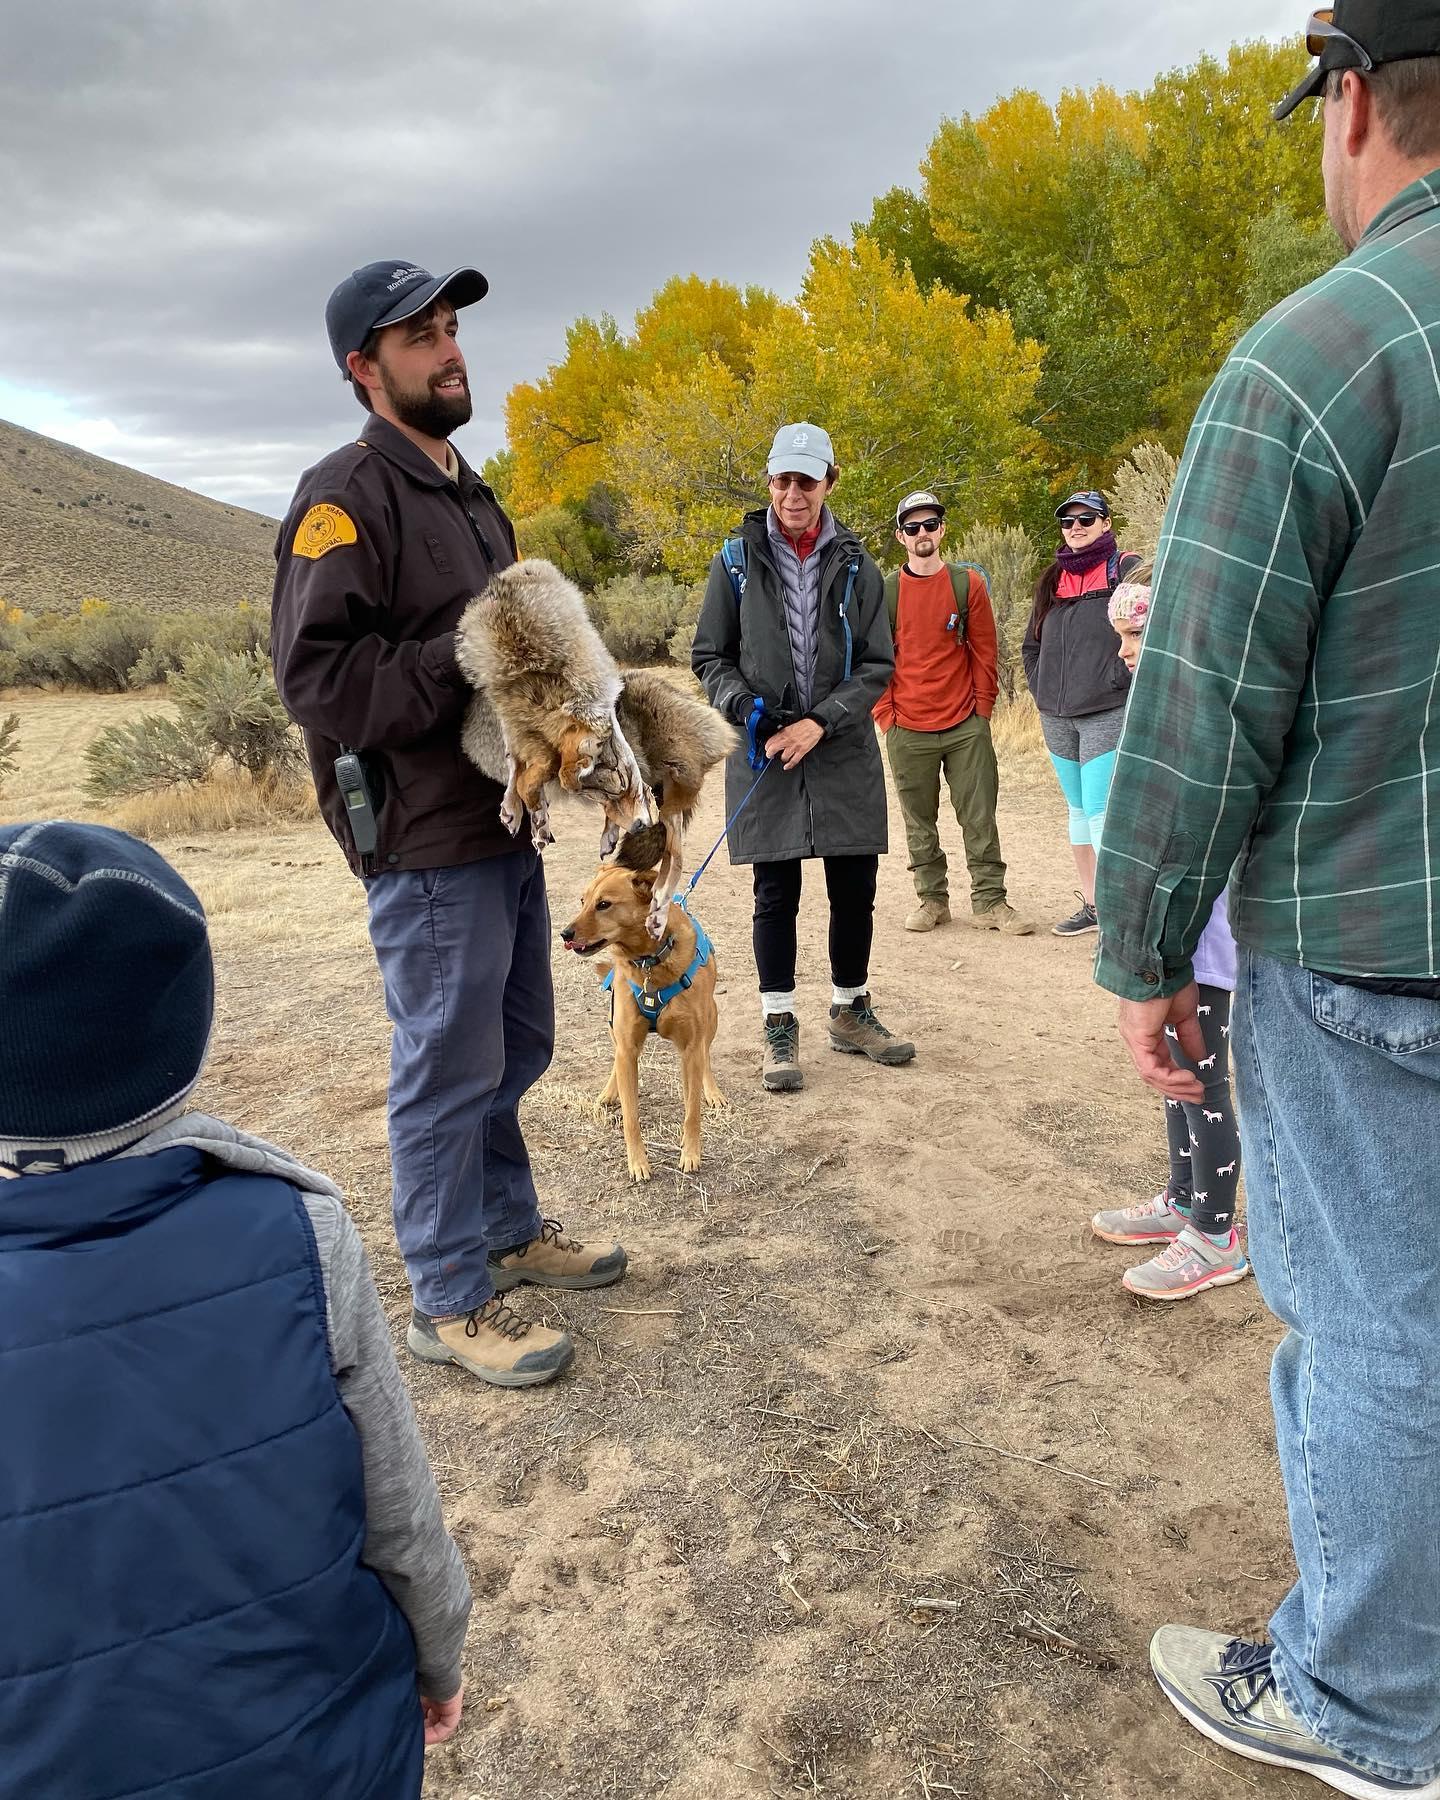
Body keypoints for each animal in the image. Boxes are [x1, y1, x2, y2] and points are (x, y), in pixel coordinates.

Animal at [558, 853, 720, 1180]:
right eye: (583, 900)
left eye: (604, 904)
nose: (565, 934)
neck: (650, 963)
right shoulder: (628, 1045)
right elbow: (631, 1115)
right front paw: (638, 1163)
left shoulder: (691, 1046)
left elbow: (692, 1110)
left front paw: (690, 1153)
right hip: (615, 1026)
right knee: (618, 1062)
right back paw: (610, 1092)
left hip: (711, 1020)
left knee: (704, 1061)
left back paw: (711, 1090)